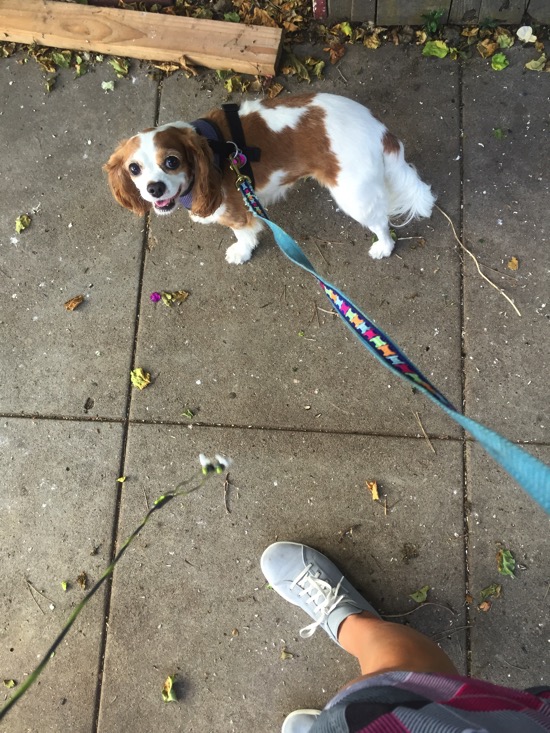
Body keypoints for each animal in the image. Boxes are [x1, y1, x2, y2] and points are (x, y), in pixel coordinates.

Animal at [105, 91, 438, 264]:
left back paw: (384, 246)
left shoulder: (238, 211)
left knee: (381, 223)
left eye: (172, 162)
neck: (211, 149)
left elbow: (243, 233)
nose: (154, 188)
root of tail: (378, 129)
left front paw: (242, 251)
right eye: (134, 169)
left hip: (352, 196)